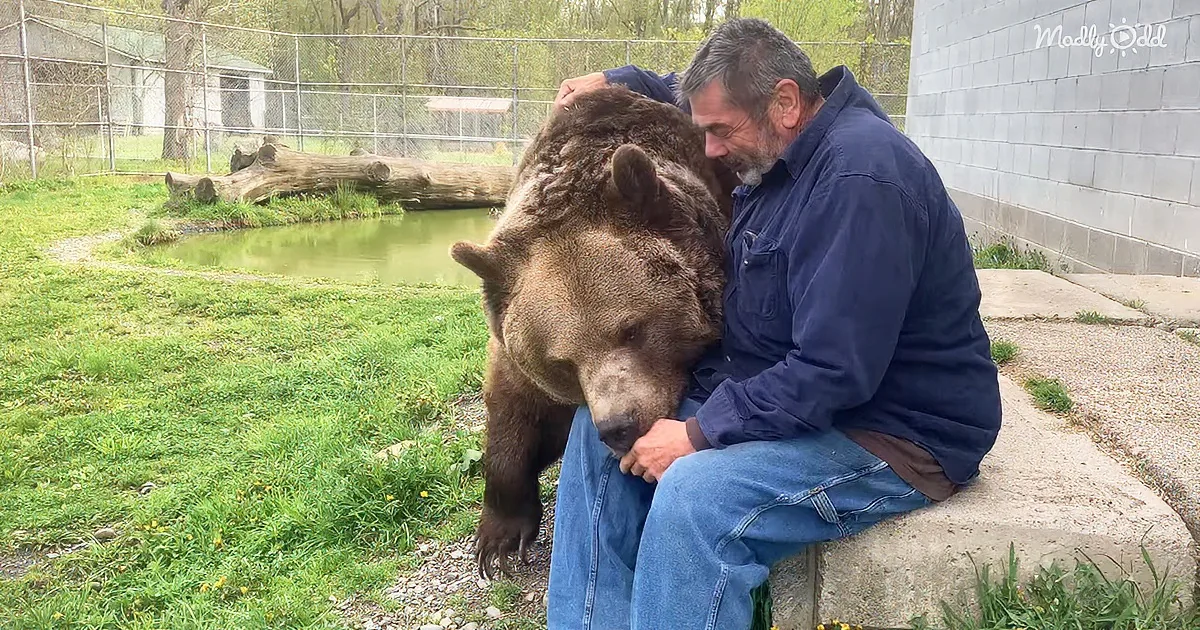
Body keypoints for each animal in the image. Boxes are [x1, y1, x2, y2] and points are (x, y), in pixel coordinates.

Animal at [449, 84, 740, 579]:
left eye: (632, 330)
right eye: (561, 361)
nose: (618, 426)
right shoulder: (513, 349)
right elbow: (512, 410)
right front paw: (499, 539)